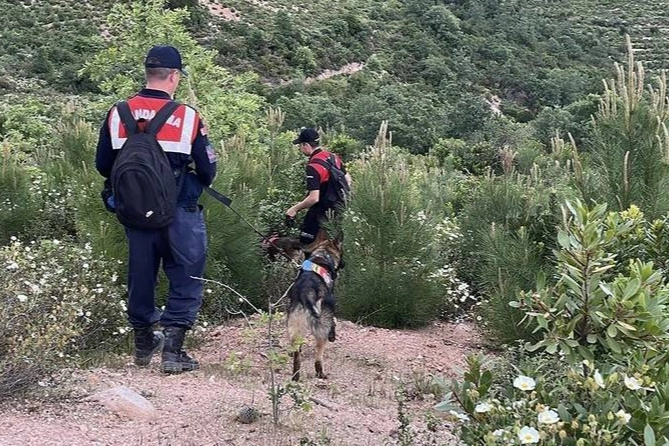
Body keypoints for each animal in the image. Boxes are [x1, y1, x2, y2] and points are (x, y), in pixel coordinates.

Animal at [286, 232, 342, 382]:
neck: (323, 254)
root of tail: (305, 293)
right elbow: (334, 322)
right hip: (321, 328)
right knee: (318, 356)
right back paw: (320, 373)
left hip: (296, 325)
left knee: (297, 353)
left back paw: (295, 377)